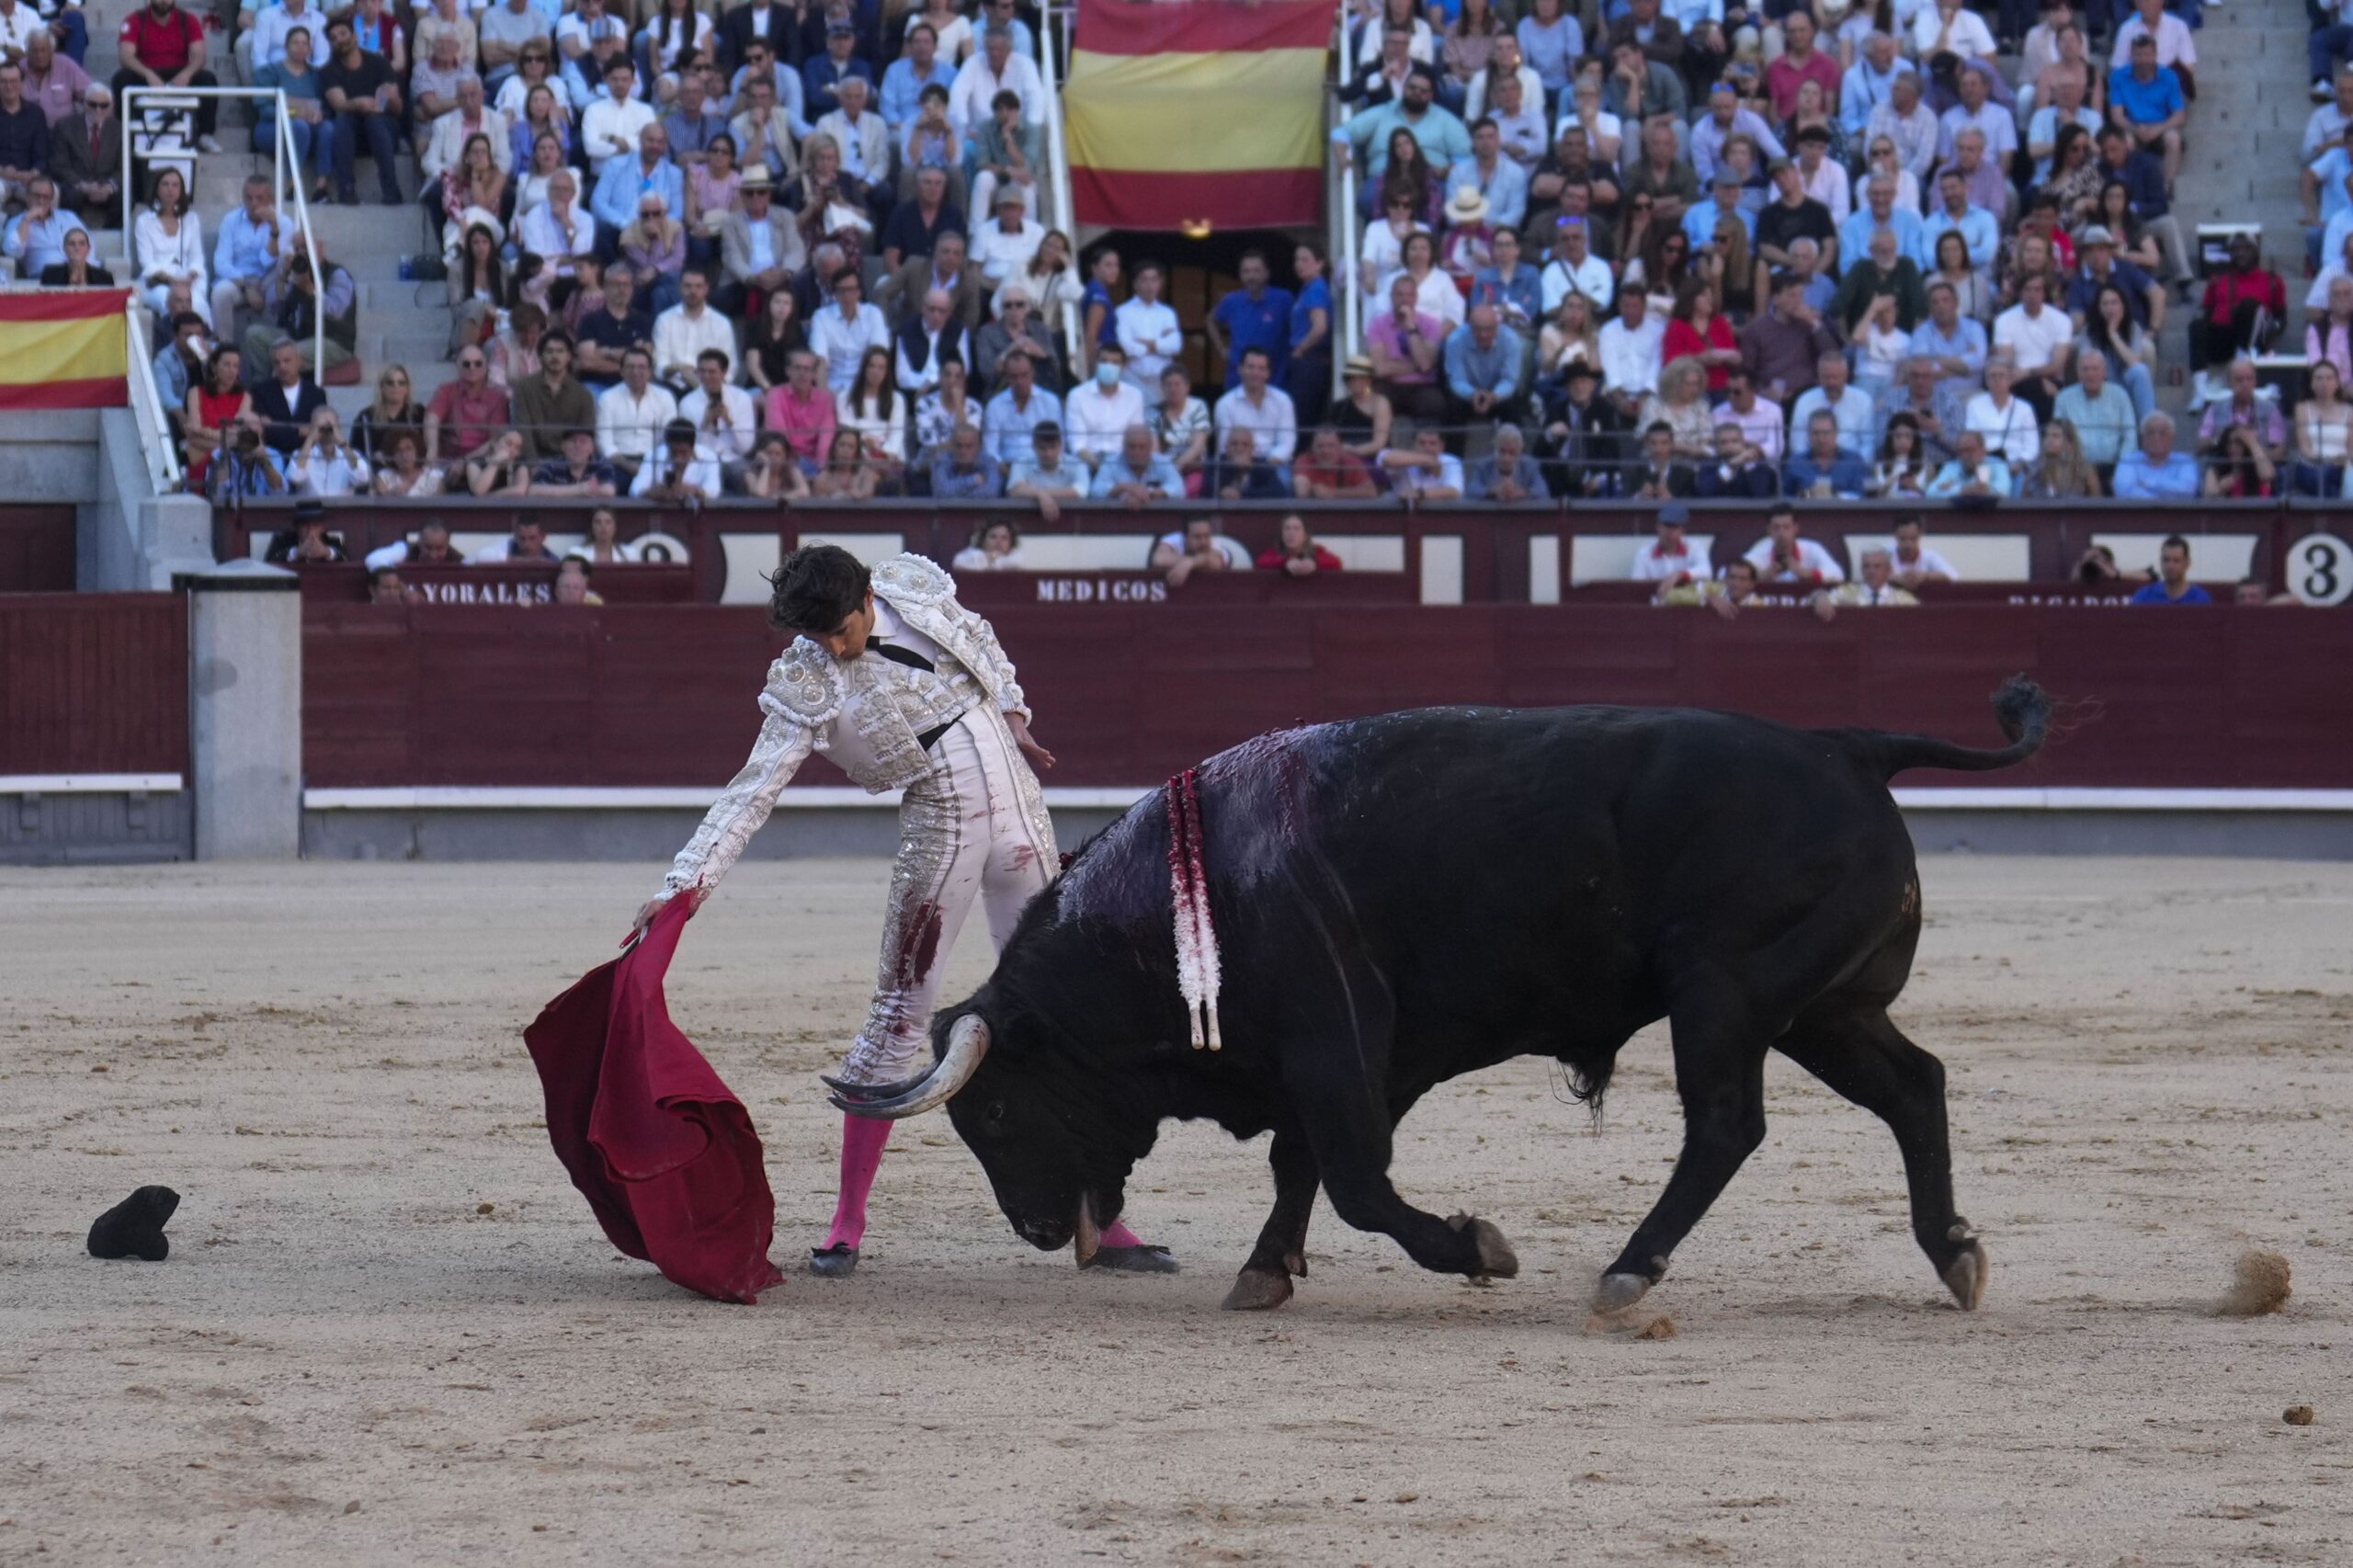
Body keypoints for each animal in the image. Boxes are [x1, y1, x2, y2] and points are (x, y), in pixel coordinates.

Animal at [837, 677, 2052, 1309]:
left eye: (995, 1109)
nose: (1040, 1229)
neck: (1185, 900)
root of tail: (1846, 745)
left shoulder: (1335, 1049)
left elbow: (1358, 1181)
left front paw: (1477, 1248)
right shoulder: (1349, 1060)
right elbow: (1304, 1167)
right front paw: (1263, 1272)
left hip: (1725, 993)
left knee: (1725, 1123)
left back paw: (1628, 1267)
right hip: (1823, 1007)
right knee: (1913, 1086)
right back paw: (1954, 1252)